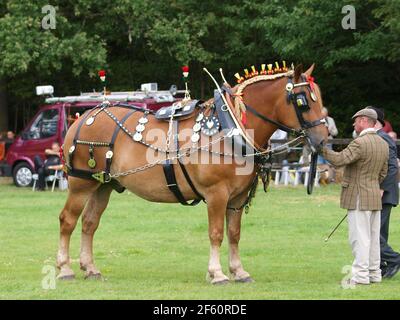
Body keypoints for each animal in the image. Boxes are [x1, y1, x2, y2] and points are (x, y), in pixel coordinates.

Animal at [56, 63, 326, 284]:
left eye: (320, 99)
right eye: (302, 101)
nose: (324, 140)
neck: (231, 129)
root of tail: (84, 116)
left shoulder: (237, 198)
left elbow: (234, 234)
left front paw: (238, 271)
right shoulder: (217, 194)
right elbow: (216, 234)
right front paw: (217, 274)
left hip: (103, 185)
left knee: (89, 223)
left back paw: (90, 268)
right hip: (80, 183)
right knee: (68, 220)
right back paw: (64, 269)